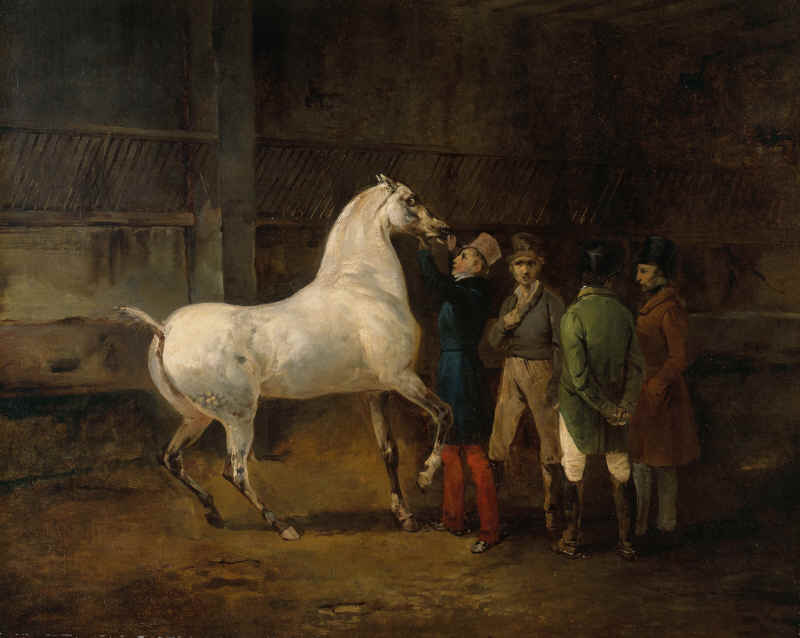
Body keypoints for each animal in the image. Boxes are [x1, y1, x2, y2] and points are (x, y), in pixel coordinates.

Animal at [118, 174, 454, 540]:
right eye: (411, 199)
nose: (444, 230)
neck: (366, 286)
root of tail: (165, 329)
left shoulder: (376, 392)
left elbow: (389, 452)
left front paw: (405, 516)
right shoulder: (402, 378)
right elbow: (444, 414)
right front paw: (425, 477)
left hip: (196, 416)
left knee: (172, 459)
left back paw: (213, 511)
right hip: (238, 416)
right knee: (234, 472)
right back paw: (282, 526)